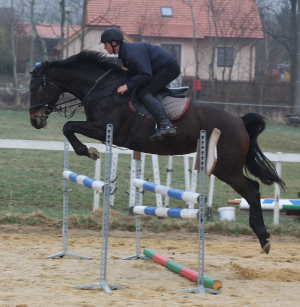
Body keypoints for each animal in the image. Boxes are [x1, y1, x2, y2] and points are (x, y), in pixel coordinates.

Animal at [29, 49, 284, 254]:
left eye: (36, 87)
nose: (35, 121)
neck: (103, 90)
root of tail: (240, 121)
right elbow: (68, 128)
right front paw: (89, 151)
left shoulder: (104, 128)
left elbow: (68, 126)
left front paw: (87, 150)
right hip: (227, 167)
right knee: (254, 187)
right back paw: (261, 235)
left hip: (225, 167)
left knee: (252, 192)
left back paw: (263, 238)